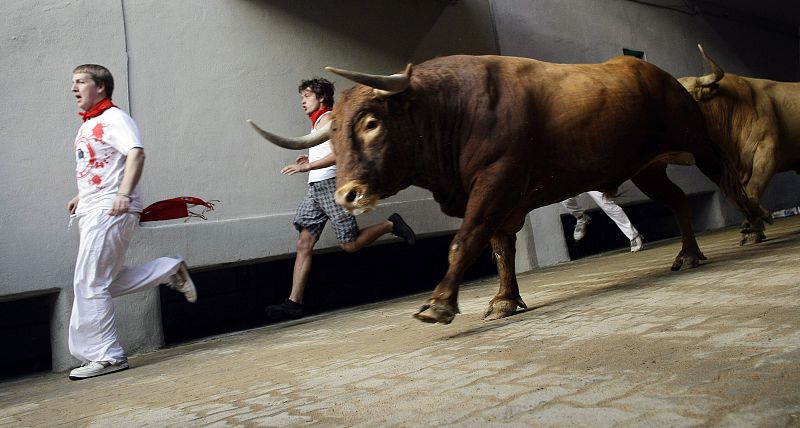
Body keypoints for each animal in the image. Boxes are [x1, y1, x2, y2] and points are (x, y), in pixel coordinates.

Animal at [250, 55, 768, 326]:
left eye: (372, 123)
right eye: (332, 136)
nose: (347, 196)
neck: (452, 107)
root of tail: (657, 73)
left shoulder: (495, 181)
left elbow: (467, 241)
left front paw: (440, 304)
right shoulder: (500, 196)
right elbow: (500, 246)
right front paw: (504, 300)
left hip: (696, 141)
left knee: (726, 179)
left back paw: (753, 228)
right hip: (647, 169)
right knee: (678, 199)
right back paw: (688, 254)